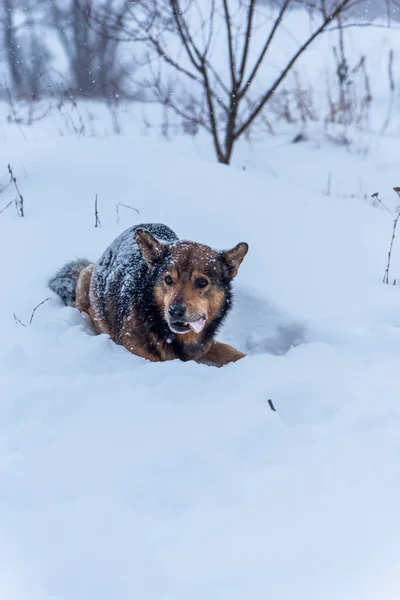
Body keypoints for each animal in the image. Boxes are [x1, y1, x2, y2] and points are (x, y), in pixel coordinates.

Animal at [48, 224, 248, 366]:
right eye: (168, 279)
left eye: (201, 282)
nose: (175, 311)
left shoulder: (204, 345)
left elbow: (230, 351)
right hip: (86, 277)